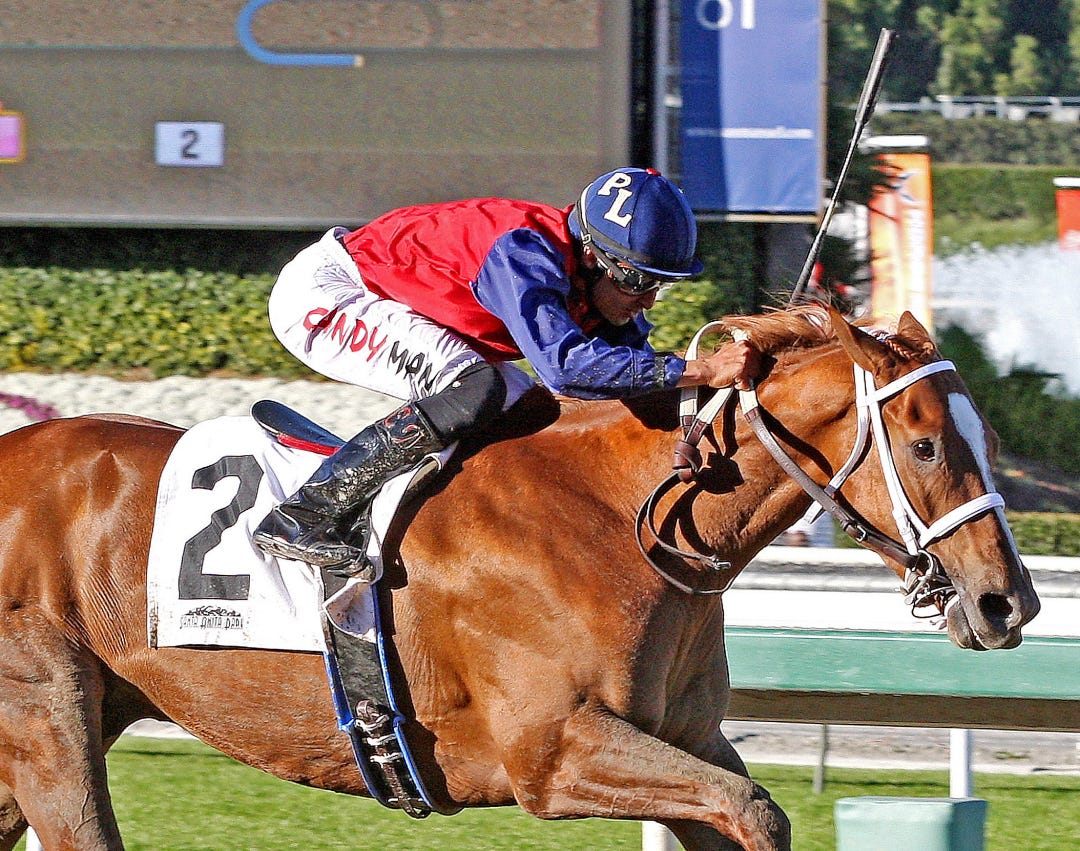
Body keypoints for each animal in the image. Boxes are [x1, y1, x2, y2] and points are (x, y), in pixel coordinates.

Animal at [0, 305, 1039, 851]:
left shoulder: (689, 737)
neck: (621, 520)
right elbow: (752, 808)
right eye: (925, 443)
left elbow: (751, 811)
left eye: (985, 434)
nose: (1008, 600)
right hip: (47, 714)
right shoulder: (553, 751)